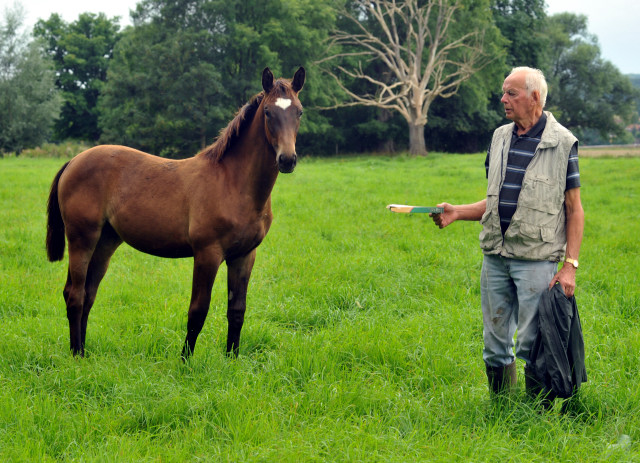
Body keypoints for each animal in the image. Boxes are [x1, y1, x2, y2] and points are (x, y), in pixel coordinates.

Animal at [45, 67, 304, 360]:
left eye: (299, 111)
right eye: (269, 112)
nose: (287, 159)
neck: (233, 183)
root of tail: (73, 161)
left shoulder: (244, 255)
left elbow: (237, 310)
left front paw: (232, 360)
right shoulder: (207, 253)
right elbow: (198, 311)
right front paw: (185, 361)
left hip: (105, 242)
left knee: (88, 294)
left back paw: (84, 352)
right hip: (82, 239)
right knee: (75, 295)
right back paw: (76, 354)